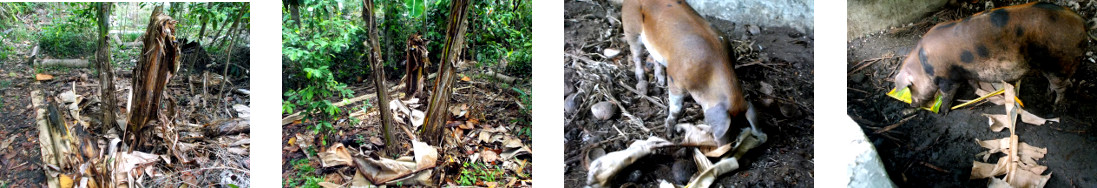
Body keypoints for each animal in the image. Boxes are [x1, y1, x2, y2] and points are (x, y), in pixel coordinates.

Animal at [895, 2, 1083, 113]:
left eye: (910, 87)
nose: (912, 104)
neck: (923, 65)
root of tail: (1082, 24)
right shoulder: (966, 71)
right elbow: (972, 82)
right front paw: (979, 91)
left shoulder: (948, 78)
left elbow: (947, 94)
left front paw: (943, 112)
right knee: (1059, 84)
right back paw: (1047, 96)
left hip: (1059, 63)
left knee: (1064, 86)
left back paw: (1056, 107)